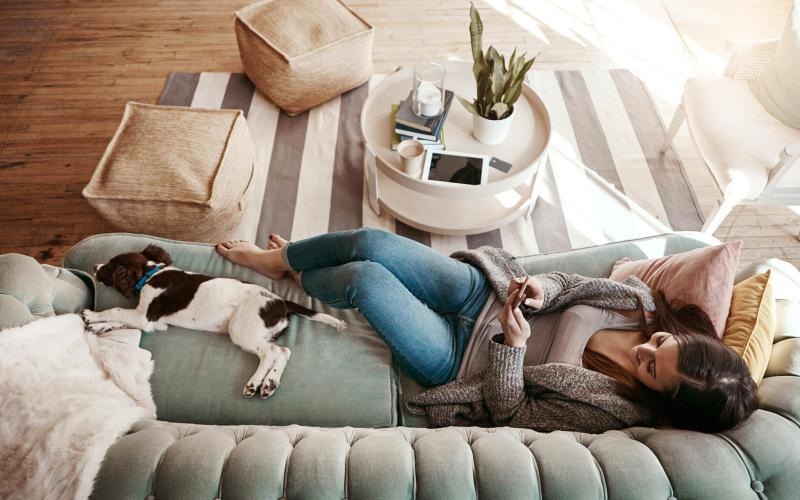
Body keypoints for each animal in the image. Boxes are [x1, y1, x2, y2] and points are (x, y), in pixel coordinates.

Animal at [79, 245, 350, 398]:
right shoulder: (153, 322)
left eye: (110, 267)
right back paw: (269, 383)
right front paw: (98, 325)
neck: (150, 273)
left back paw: (255, 384)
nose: (94, 265)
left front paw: (93, 316)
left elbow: (117, 310)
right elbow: (121, 321)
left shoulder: (146, 316)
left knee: (272, 352)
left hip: (241, 328)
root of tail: (281, 301)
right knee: (283, 351)